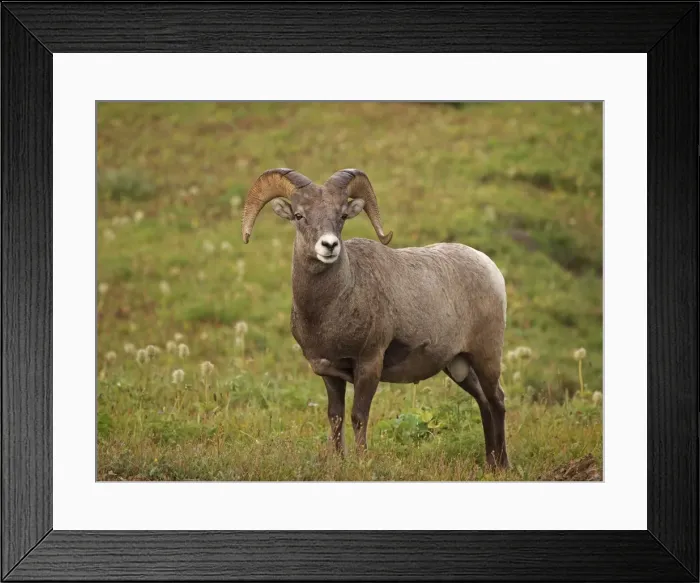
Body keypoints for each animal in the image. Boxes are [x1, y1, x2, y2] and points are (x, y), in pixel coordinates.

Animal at [241, 168, 509, 468]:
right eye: (299, 215)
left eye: (342, 215)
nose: (329, 245)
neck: (329, 311)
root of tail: (490, 267)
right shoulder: (329, 374)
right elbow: (336, 417)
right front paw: (340, 460)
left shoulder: (369, 365)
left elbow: (359, 417)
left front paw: (361, 461)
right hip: (458, 366)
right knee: (484, 403)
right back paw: (490, 463)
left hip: (486, 357)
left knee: (497, 401)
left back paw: (502, 466)